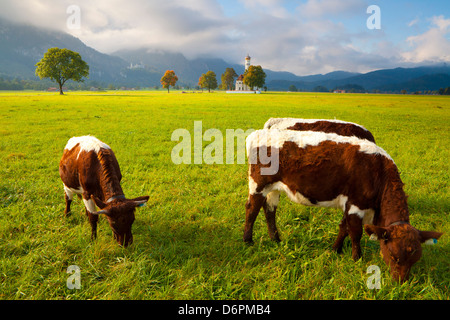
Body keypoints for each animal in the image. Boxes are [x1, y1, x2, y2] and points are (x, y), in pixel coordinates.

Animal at [244, 129, 442, 282]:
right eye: (394, 256)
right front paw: (357, 258)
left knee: (269, 210)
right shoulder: (356, 204)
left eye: (415, 259)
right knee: (252, 210)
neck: (378, 171)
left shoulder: (350, 204)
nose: (401, 282)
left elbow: (343, 227)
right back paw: (248, 241)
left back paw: (275, 239)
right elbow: (355, 232)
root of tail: (258, 133)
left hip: (273, 188)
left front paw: (335, 250)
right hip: (258, 184)